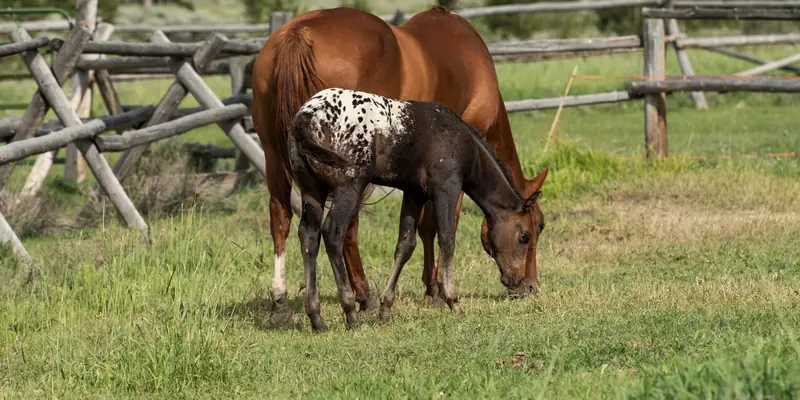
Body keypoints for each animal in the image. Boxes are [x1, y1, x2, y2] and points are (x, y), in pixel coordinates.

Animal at [288, 88, 541, 331]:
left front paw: (385, 309)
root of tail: (305, 118)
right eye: (525, 236)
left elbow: (405, 245)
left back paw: (317, 318)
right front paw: (453, 301)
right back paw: (350, 313)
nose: (518, 283)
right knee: (332, 233)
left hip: (312, 192)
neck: (462, 142)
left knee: (309, 237)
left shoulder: (414, 193)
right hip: (349, 188)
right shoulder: (446, 187)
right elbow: (447, 239)